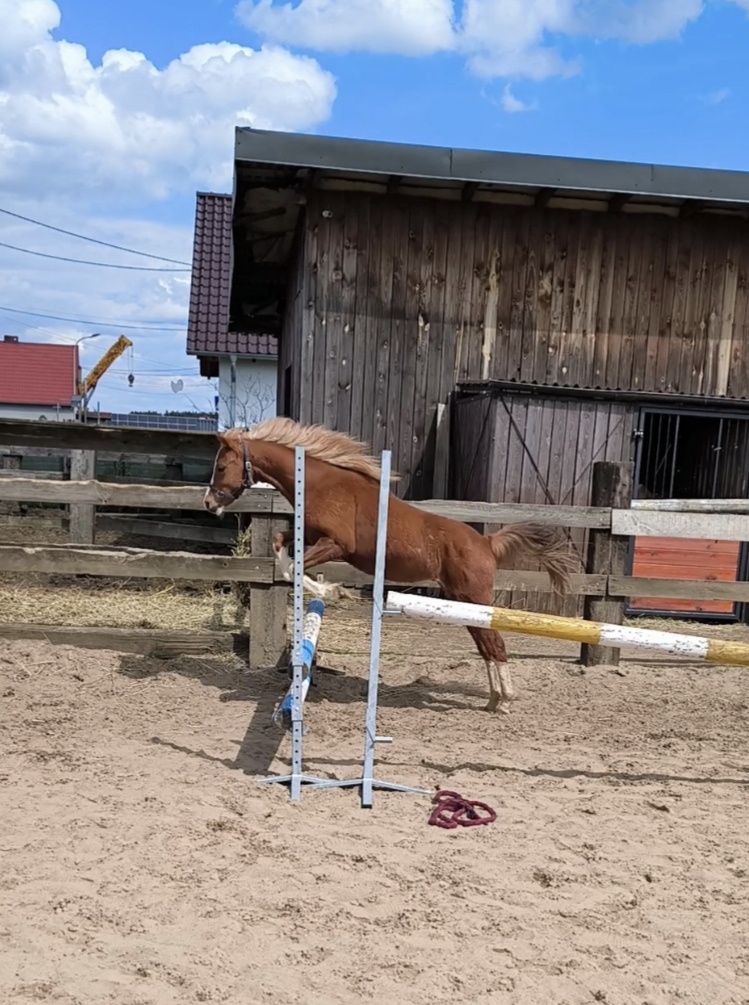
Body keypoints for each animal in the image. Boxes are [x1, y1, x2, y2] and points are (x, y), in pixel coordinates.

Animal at [204, 420, 571, 711]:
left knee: (495, 644)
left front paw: (336, 592)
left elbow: (295, 567)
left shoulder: (335, 544)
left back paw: (505, 699)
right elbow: (282, 551)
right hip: (462, 602)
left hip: (475, 597)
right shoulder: (308, 535)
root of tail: (487, 543)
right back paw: (494, 699)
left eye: (221, 467)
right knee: (486, 645)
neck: (319, 483)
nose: (208, 504)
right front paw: (332, 590)